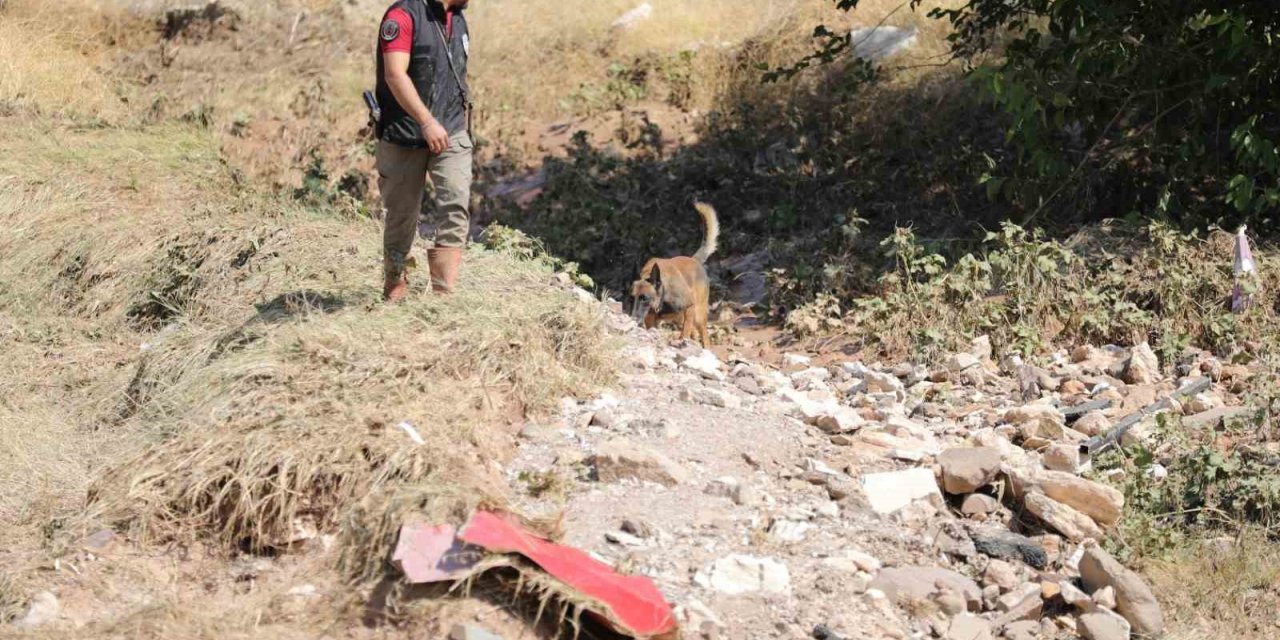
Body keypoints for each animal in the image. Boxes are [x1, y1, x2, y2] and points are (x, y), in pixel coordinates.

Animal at [629, 202, 721, 348]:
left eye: (644, 298)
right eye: (632, 299)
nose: (632, 319)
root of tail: (694, 259)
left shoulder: (689, 305)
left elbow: (685, 331)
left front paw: (682, 340)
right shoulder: (651, 320)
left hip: (698, 315)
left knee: (703, 334)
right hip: (681, 317)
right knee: (694, 332)